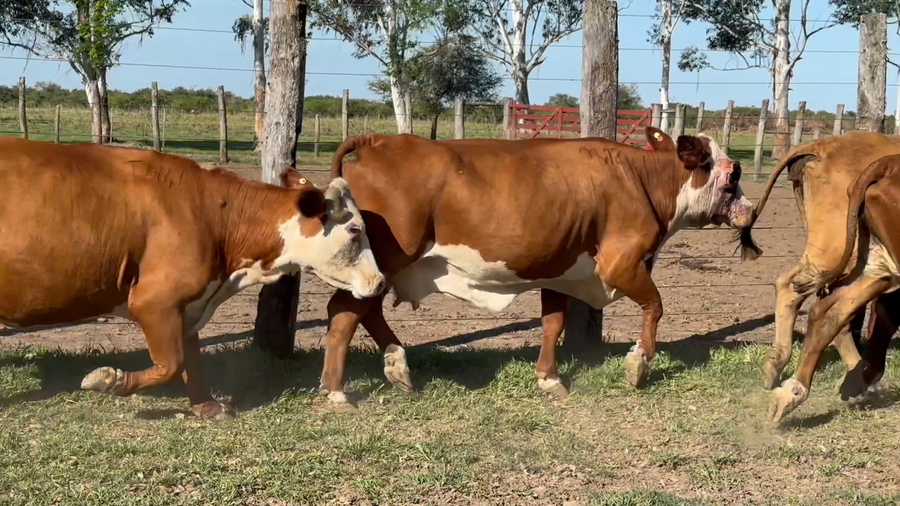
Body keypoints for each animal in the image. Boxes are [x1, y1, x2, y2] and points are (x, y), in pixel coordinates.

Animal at [0, 138, 385, 419]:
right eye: (355, 230)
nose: (379, 281)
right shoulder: (155, 302)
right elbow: (171, 364)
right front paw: (109, 380)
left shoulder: (188, 306)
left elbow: (192, 360)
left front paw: (208, 407)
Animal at [295, 127, 754, 413]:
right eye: (733, 175)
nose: (750, 211)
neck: (640, 179)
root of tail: (380, 139)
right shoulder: (620, 264)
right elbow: (656, 306)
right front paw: (638, 366)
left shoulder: (561, 269)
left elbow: (552, 324)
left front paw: (549, 379)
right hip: (387, 258)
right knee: (344, 313)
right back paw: (337, 392)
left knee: (365, 311)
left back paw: (397, 367)